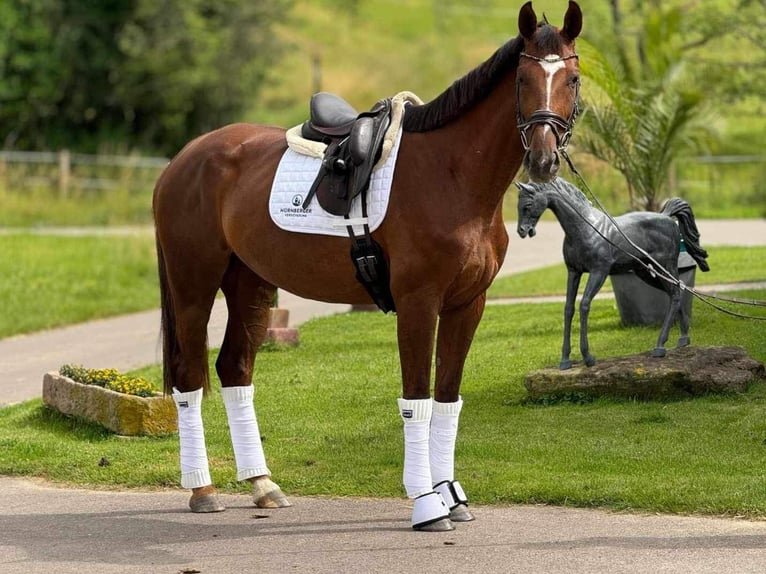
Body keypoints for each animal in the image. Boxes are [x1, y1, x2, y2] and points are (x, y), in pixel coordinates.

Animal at [153, 1, 584, 536]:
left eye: (573, 79)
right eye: (523, 79)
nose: (544, 159)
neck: (451, 174)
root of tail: (183, 160)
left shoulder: (468, 305)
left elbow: (448, 401)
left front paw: (452, 496)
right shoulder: (419, 303)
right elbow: (417, 400)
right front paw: (427, 505)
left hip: (250, 284)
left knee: (234, 369)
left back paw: (263, 485)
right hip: (193, 286)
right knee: (189, 378)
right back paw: (202, 490)